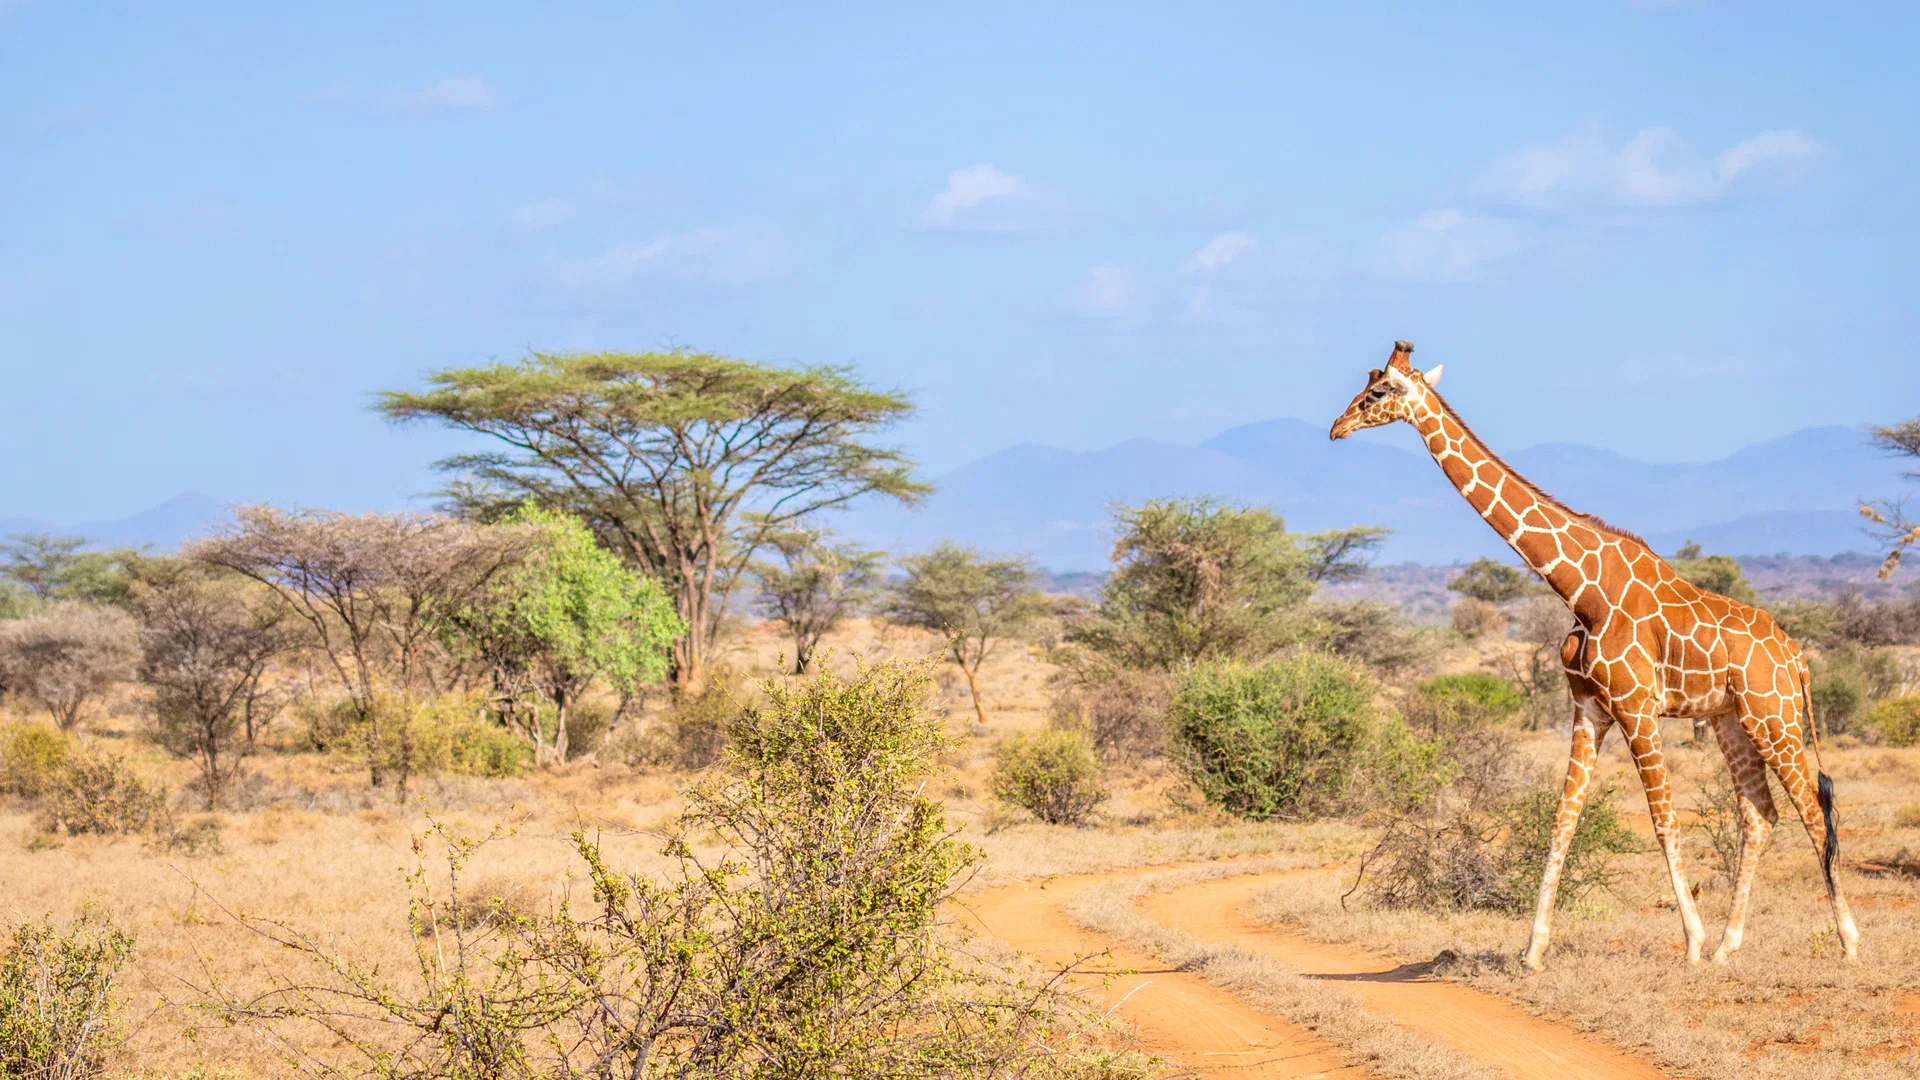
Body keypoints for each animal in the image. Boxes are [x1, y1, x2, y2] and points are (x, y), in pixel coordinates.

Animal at [1329, 340, 1859, 969]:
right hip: (1730, 718)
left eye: (1379, 390)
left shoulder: (1637, 709)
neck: (1581, 591)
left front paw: (1691, 943)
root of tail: (1796, 654)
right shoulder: (1588, 709)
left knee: (1812, 809)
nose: (1337, 426)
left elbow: (1663, 820)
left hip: (1772, 715)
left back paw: (1847, 942)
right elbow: (1564, 817)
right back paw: (1731, 946)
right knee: (1761, 814)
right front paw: (1533, 949)